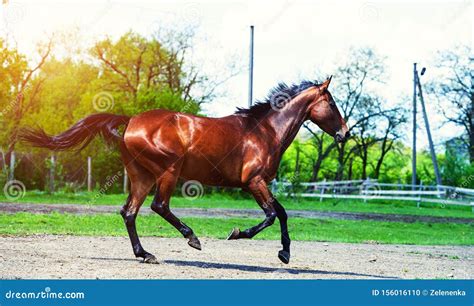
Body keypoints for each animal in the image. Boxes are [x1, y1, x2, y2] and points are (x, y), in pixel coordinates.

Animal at [19, 76, 348, 262]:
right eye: (331, 102)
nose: (344, 133)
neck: (263, 131)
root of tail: (131, 120)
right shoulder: (254, 182)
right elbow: (270, 215)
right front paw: (237, 234)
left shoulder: (260, 183)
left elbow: (281, 212)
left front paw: (285, 253)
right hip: (168, 170)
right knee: (159, 206)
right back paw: (192, 239)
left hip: (142, 176)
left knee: (129, 212)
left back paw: (145, 255)